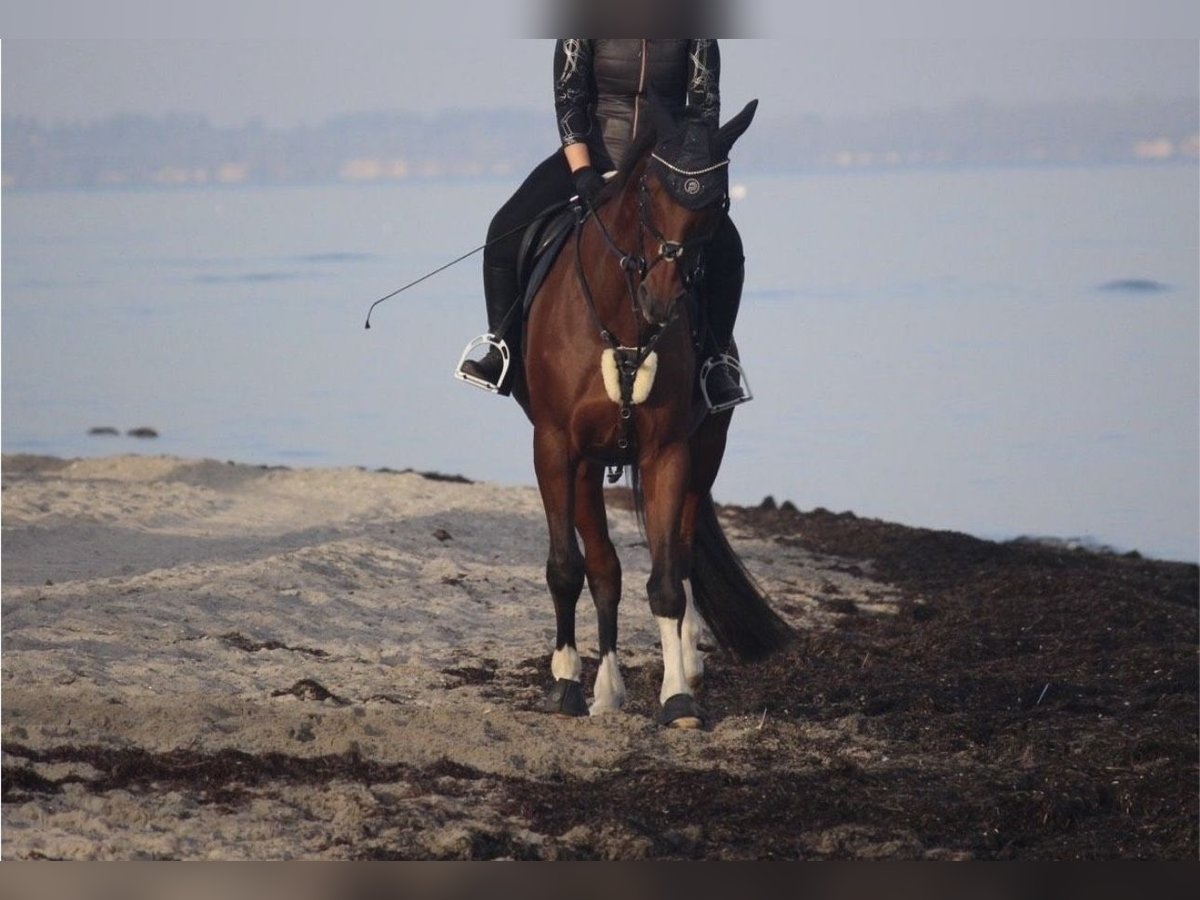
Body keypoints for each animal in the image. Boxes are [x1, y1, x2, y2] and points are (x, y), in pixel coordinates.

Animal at [508, 100, 796, 734]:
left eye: (717, 202)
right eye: (647, 191)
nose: (662, 299)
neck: (624, 319)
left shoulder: (668, 453)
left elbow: (666, 582)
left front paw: (678, 697)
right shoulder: (555, 447)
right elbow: (567, 567)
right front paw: (567, 684)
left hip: (704, 453)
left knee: (680, 556)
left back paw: (681, 663)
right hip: (588, 466)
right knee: (603, 567)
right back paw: (602, 687)